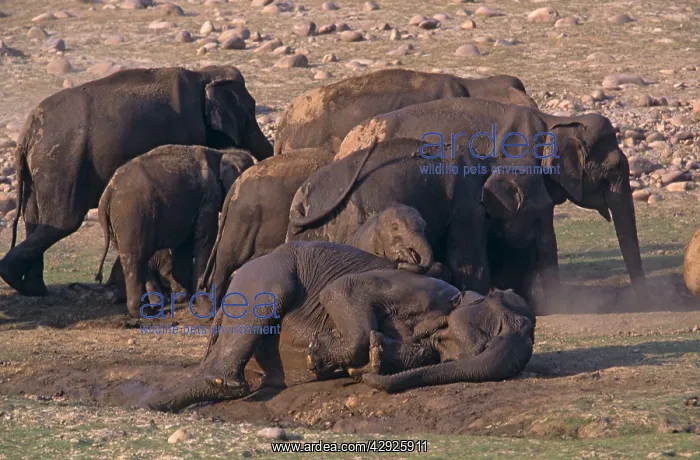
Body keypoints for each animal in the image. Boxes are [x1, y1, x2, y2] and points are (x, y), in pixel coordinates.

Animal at [1, 65, 273, 298]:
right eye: (251, 109)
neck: (202, 75)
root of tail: (26, 134)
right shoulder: (188, 130)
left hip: (42, 170)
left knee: (34, 219)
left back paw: (31, 288)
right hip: (62, 165)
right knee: (61, 222)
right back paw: (16, 278)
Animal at [94, 145, 255, 317]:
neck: (221, 153)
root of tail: (107, 194)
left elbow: (184, 245)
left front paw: (182, 298)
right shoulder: (209, 196)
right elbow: (204, 238)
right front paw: (204, 306)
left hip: (117, 225)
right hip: (132, 218)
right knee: (136, 259)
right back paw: (146, 312)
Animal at [334, 97, 647, 301]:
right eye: (614, 169)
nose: (642, 297)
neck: (554, 122)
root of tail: (344, 145)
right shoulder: (521, 166)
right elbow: (544, 239)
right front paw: (556, 304)